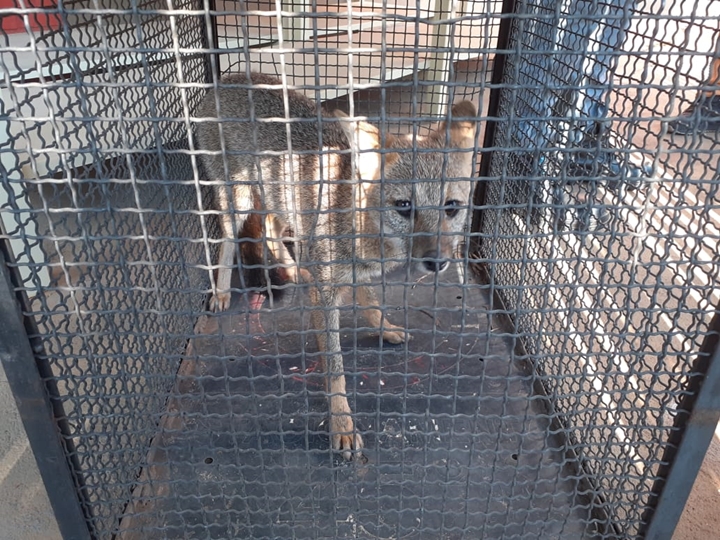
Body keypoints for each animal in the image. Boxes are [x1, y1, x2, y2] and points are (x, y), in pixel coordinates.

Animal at [197, 71, 478, 460]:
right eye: (404, 206)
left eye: (451, 207)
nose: (436, 261)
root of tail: (229, 77)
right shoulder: (326, 296)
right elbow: (335, 368)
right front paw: (342, 424)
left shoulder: (357, 274)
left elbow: (372, 302)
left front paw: (385, 327)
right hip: (237, 201)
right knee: (228, 239)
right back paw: (222, 291)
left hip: (277, 200)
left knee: (270, 228)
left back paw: (295, 269)